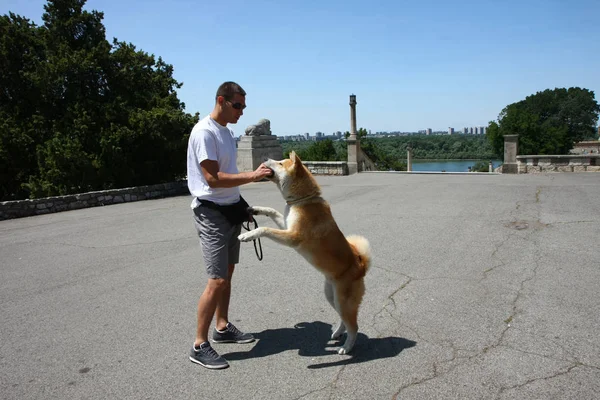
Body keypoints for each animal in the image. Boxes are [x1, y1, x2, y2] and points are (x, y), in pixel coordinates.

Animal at [238, 151, 370, 354]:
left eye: (280, 163)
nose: (266, 158)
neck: (302, 200)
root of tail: (361, 265)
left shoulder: (293, 237)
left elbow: (265, 229)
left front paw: (249, 234)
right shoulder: (286, 225)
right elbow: (272, 211)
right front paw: (255, 209)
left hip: (343, 300)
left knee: (354, 326)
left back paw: (346, 348)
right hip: (332, 296)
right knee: (344, 320)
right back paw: (338, 333)